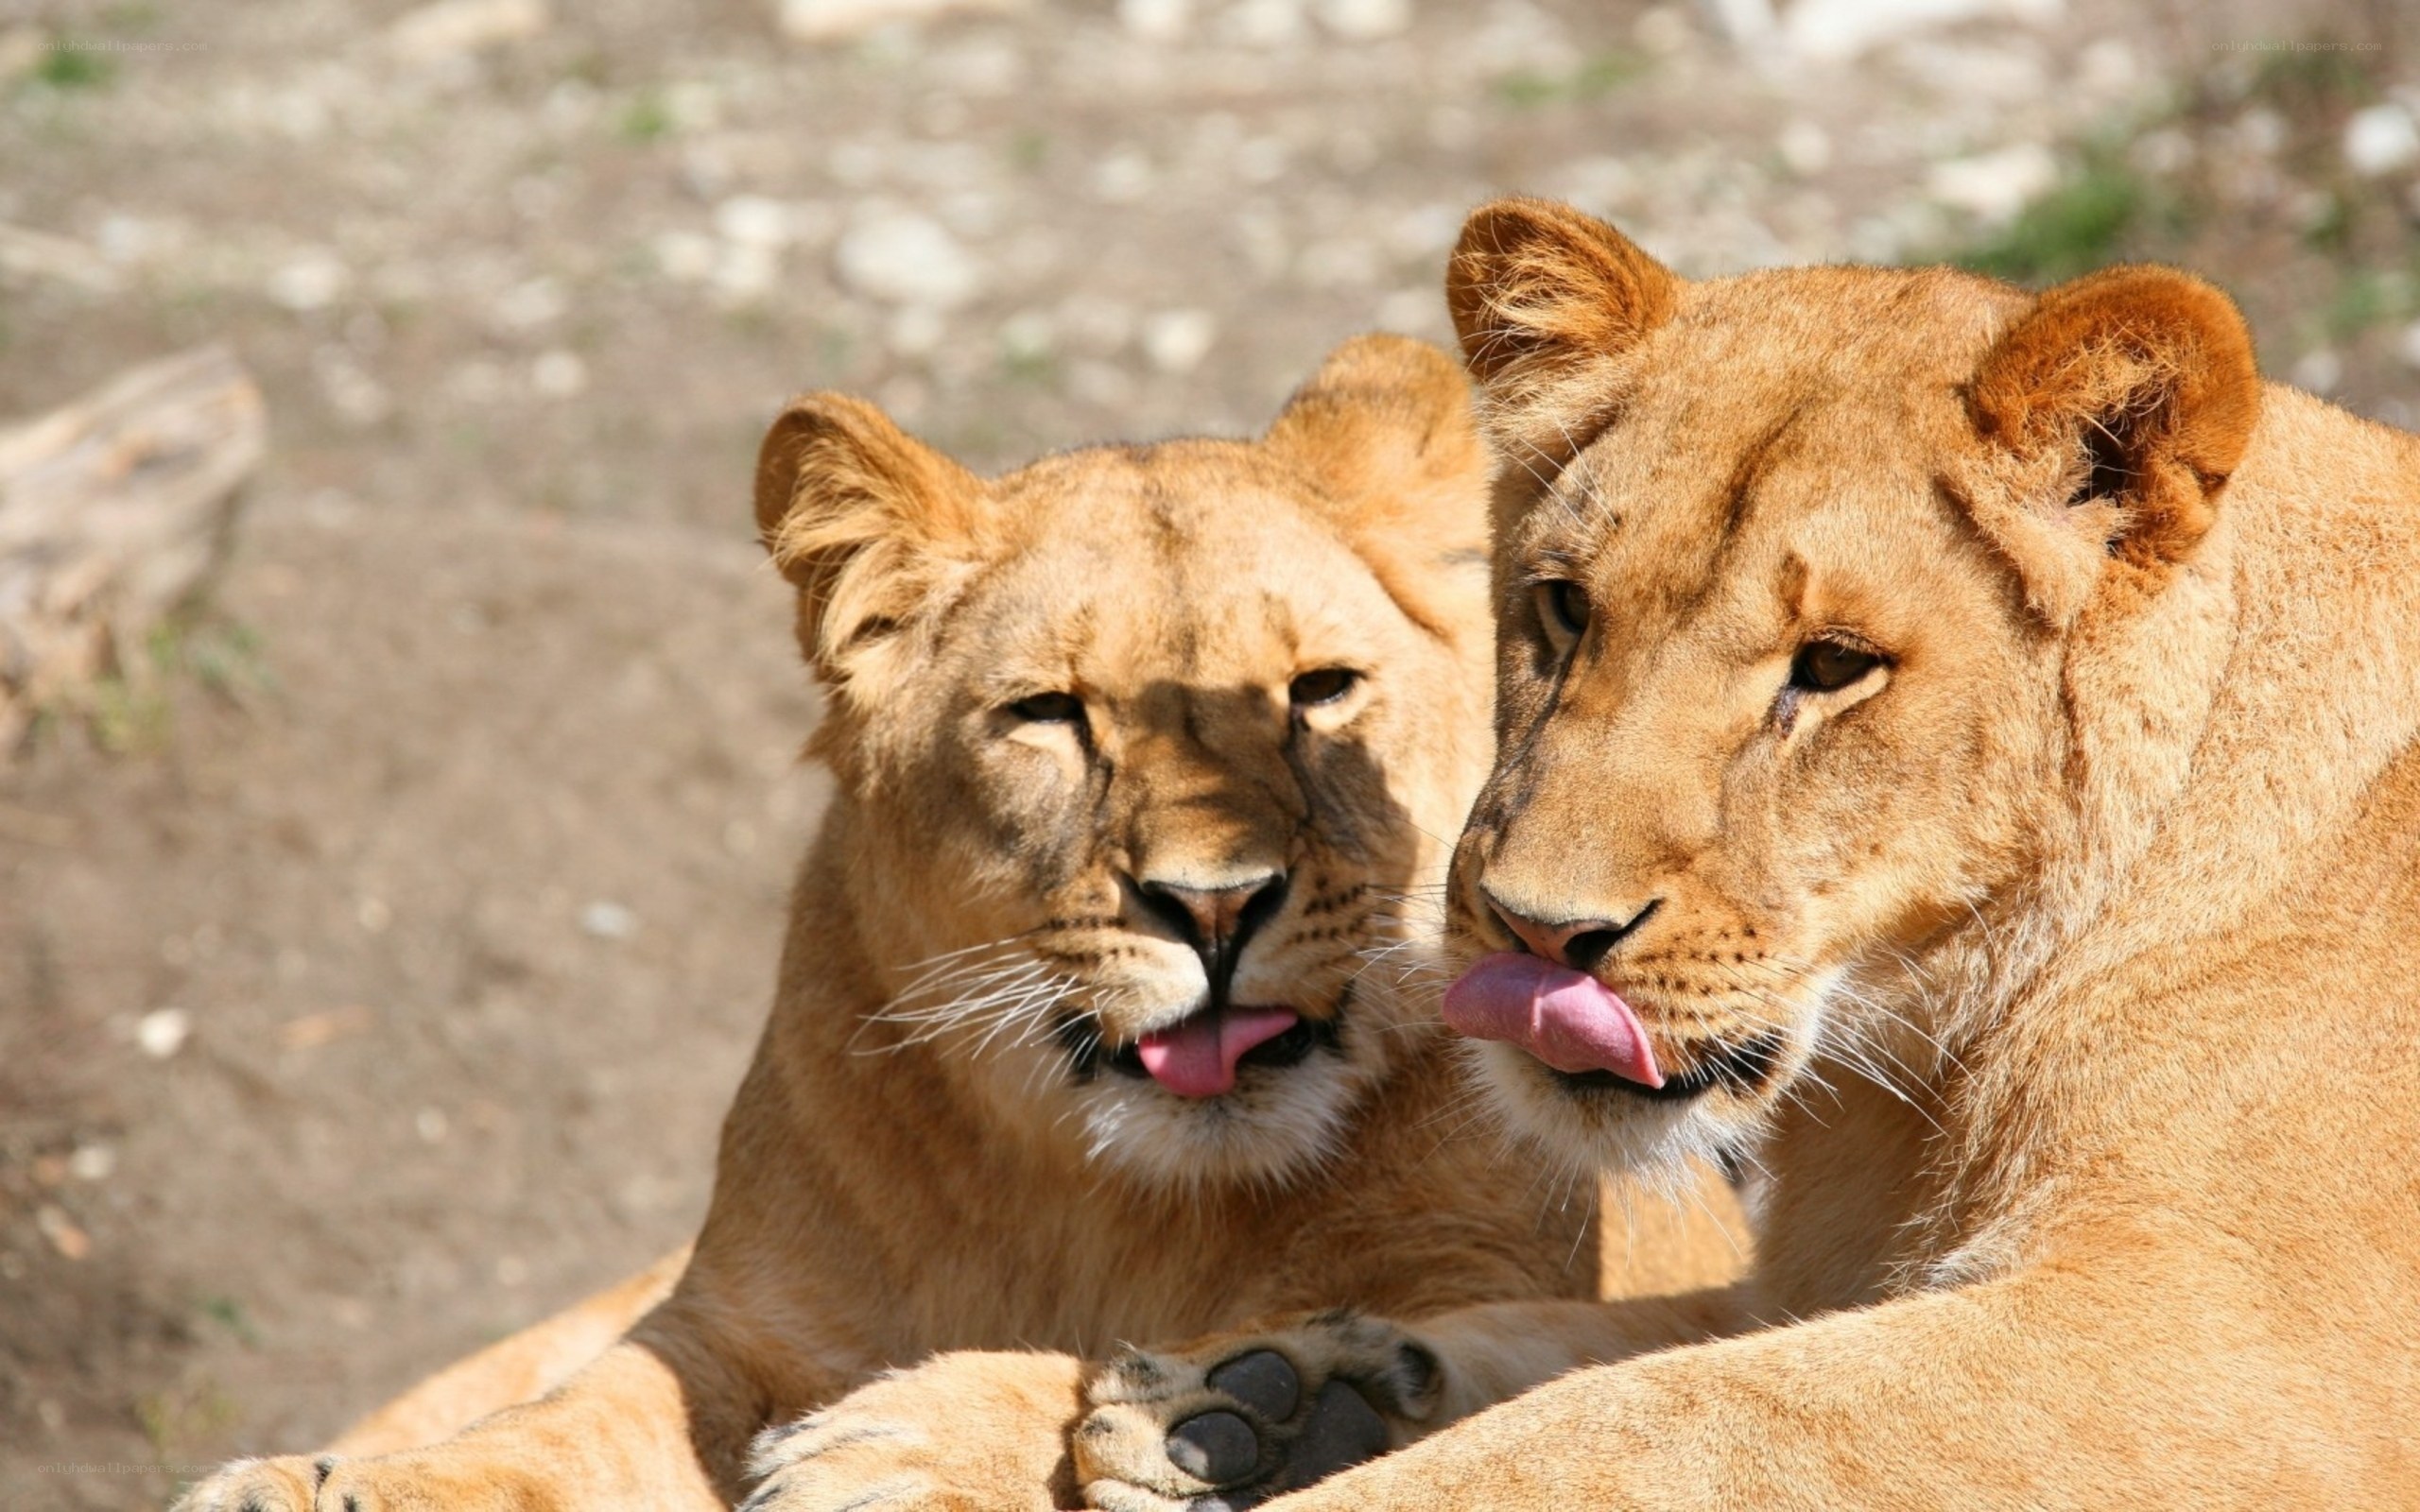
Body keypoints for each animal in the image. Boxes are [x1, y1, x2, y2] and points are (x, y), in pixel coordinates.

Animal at [173, 331, 1744, 1512]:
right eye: (1050, 715)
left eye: (1318, 692)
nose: (1215, 903)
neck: (1112, 1198)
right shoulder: (730, 1327)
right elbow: (568, 1430)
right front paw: (320, 1488)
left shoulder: (1499, 1272)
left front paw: (949, 1442)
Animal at [1067, 199, 2420, 1510]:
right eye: (1566, 604)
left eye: (1831, 665)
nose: (1540, 933)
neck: (1916, 1078)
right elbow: (1587, 1342)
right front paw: (1247, 1400)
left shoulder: (2229, 1351)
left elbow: (1650, 1423)